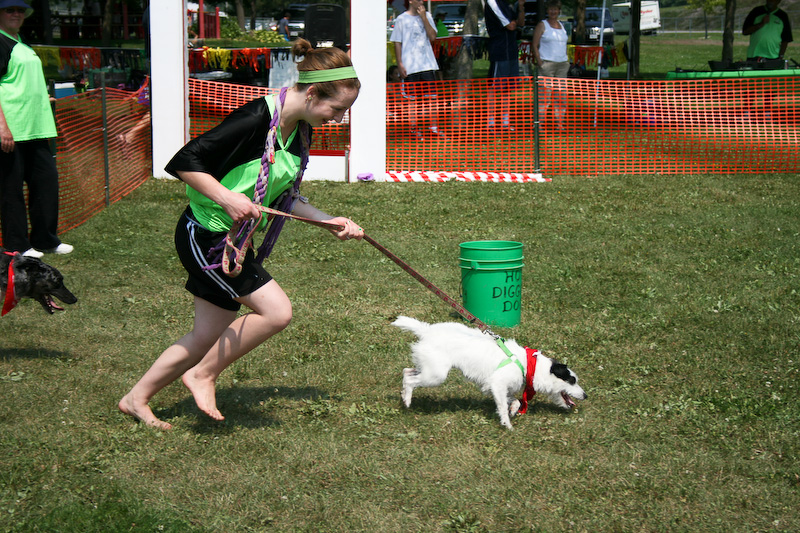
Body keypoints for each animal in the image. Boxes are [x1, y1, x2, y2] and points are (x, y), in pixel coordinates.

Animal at [393, 316, 586, 429]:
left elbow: (514, 400)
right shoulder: (497, 384)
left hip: (428, 369)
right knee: (410, 381)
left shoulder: (498, 388)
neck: (529, 365)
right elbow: (502, 407)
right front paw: (507, 425)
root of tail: (426, 330)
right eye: (572, 381)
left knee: (407, 371)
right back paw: (407, 400)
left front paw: (513, 410)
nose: (585, 395)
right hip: (436, 376)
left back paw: (403, 395)